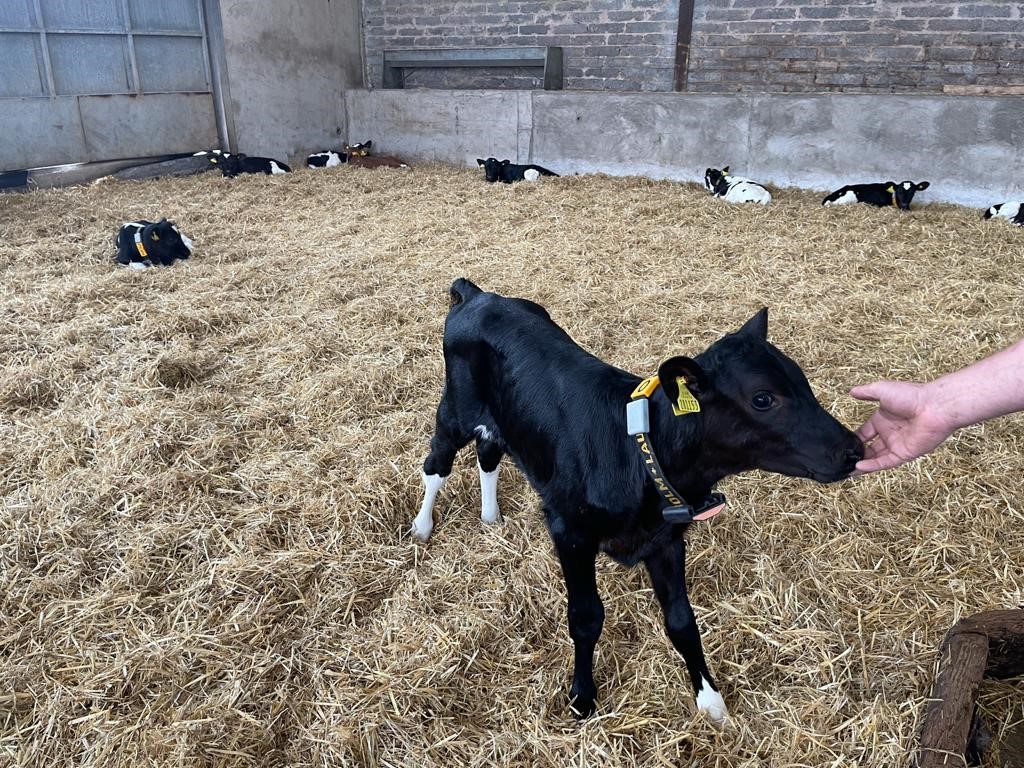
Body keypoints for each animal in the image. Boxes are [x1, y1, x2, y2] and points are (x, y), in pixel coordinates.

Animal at [412, 279, 863, 723]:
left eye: (802, 380)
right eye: (763, 398)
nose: (853, 449)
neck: (637, 450)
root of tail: (477, 295)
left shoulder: (666, 539)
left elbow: (682, 620)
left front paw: (710, 701)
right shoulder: (569, 531)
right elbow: (586, 617)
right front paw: (582, 698)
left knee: (488, 453)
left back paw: (490, 516)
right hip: (455, 410)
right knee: (437, 462)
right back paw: (422, 526)